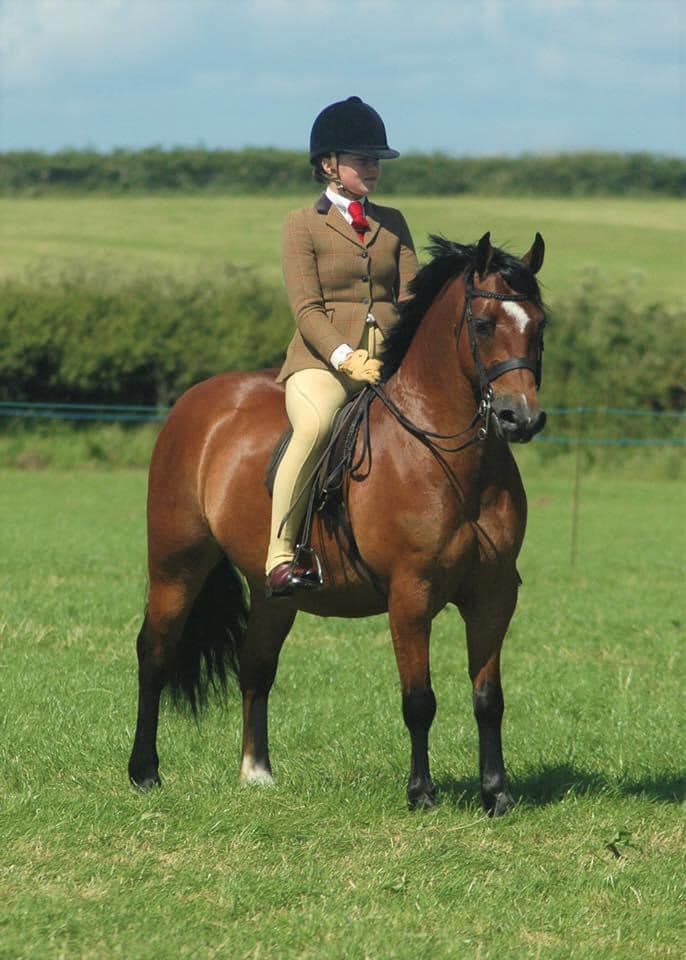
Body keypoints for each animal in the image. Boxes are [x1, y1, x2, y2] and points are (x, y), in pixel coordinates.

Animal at [128, 231, 547, 816]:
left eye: (540, 325)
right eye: (483, 324)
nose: (520, 418)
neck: (449, 457)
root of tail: (197, 400)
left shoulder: (494, 594)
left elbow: (489, 699)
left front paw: (497, 795)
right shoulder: (410, 594)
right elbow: (419, 699)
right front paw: (422, 794)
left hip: (273, 592)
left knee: (256, 665)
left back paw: (257, 773)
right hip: (176, 565)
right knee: (155, 653)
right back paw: (144, 772)